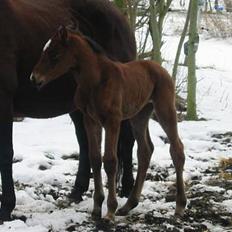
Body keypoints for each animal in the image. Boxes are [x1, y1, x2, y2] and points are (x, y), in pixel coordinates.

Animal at [30, 26, 187, 222]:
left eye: (54, 53)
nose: (34, 78)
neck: (96, 80)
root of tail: (159, 67)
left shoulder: (112, 121)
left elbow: (110, 161)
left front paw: (110, 210)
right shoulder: (90, 120)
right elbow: (95, 159)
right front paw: (97, 208)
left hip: (164, 109)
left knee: (177, 150)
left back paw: (179, 206)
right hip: (139, 115)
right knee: (145, 150)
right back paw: (128, 205)